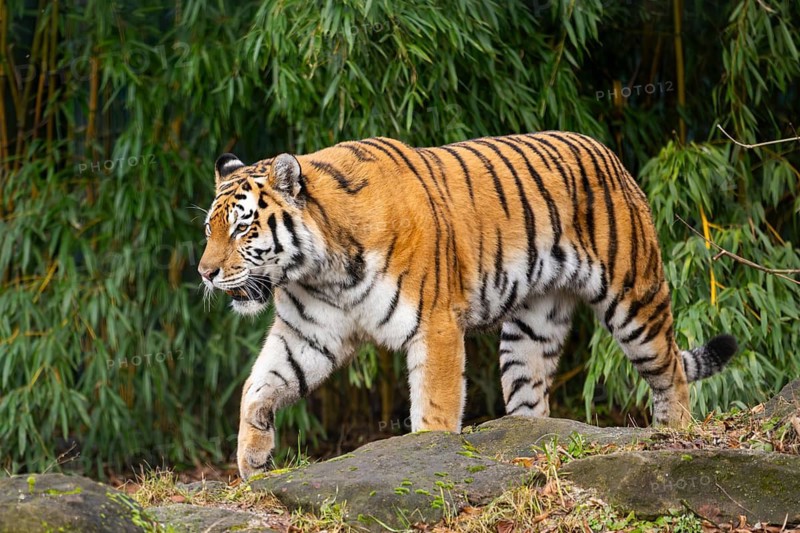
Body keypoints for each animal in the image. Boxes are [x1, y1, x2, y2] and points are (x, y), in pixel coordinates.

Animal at [197, 132, 738, 480]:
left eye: (242, 227)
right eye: (209, 229)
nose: (205, 272)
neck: (322, 270)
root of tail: (611, 154)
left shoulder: (434, 326)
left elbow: (433, 409)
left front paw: (424, 461)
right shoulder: (309, 334)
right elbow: (258, 386)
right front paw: (252, 460)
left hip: (634, 298)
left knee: (671, 371)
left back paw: (672, 435)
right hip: (530, 332)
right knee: (531, 400)